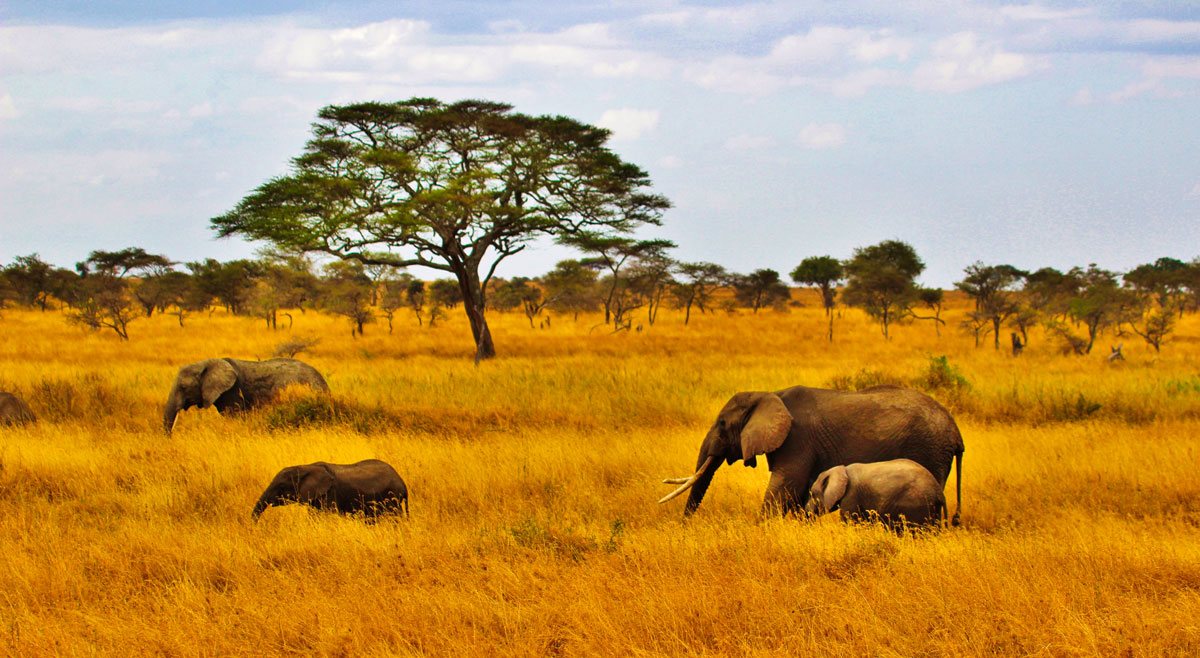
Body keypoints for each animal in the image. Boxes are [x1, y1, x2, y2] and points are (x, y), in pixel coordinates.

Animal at [659, 385, 964, 522]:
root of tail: (957, 435)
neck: (769, 395)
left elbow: (784, 488)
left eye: (722, 424)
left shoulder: (797, 440)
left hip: (930, 449)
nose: (685, 525)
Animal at [804, 459, 946, 530]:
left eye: (813, 494)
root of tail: (938, 491)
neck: (842, 469)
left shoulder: (851, 495)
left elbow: (849, 520)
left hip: (916, 503)